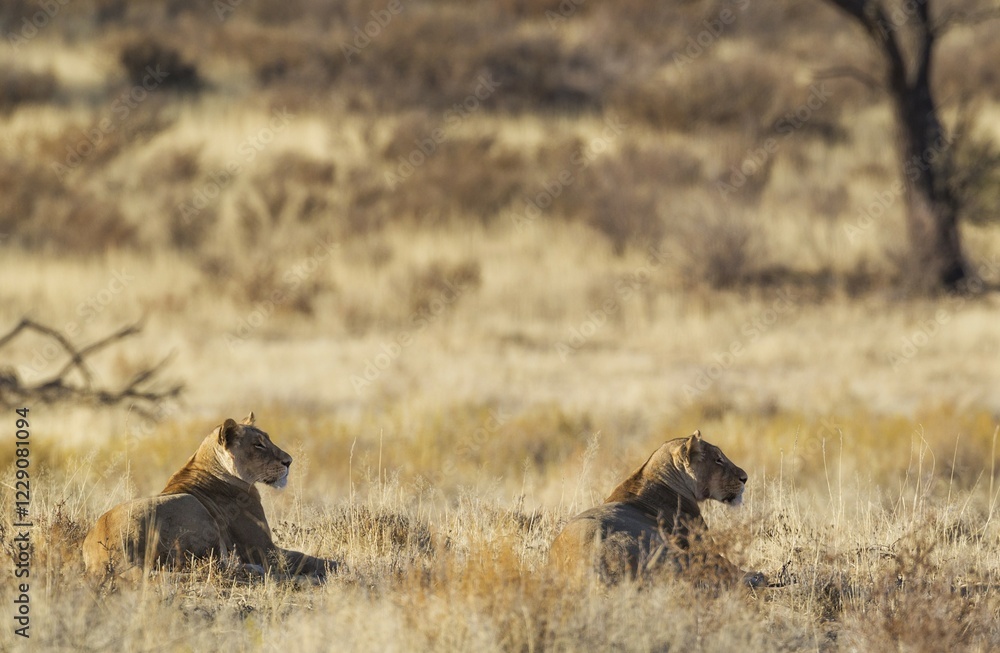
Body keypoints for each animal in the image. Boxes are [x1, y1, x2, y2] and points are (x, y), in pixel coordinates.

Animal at [83, 413, 338, 581]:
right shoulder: (263, 548)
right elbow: (306, 558)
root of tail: (108, 549)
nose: (289, 461)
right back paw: (253, 570)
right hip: (193, 506)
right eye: (258, 445)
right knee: (213, 565)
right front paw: (338, 565)